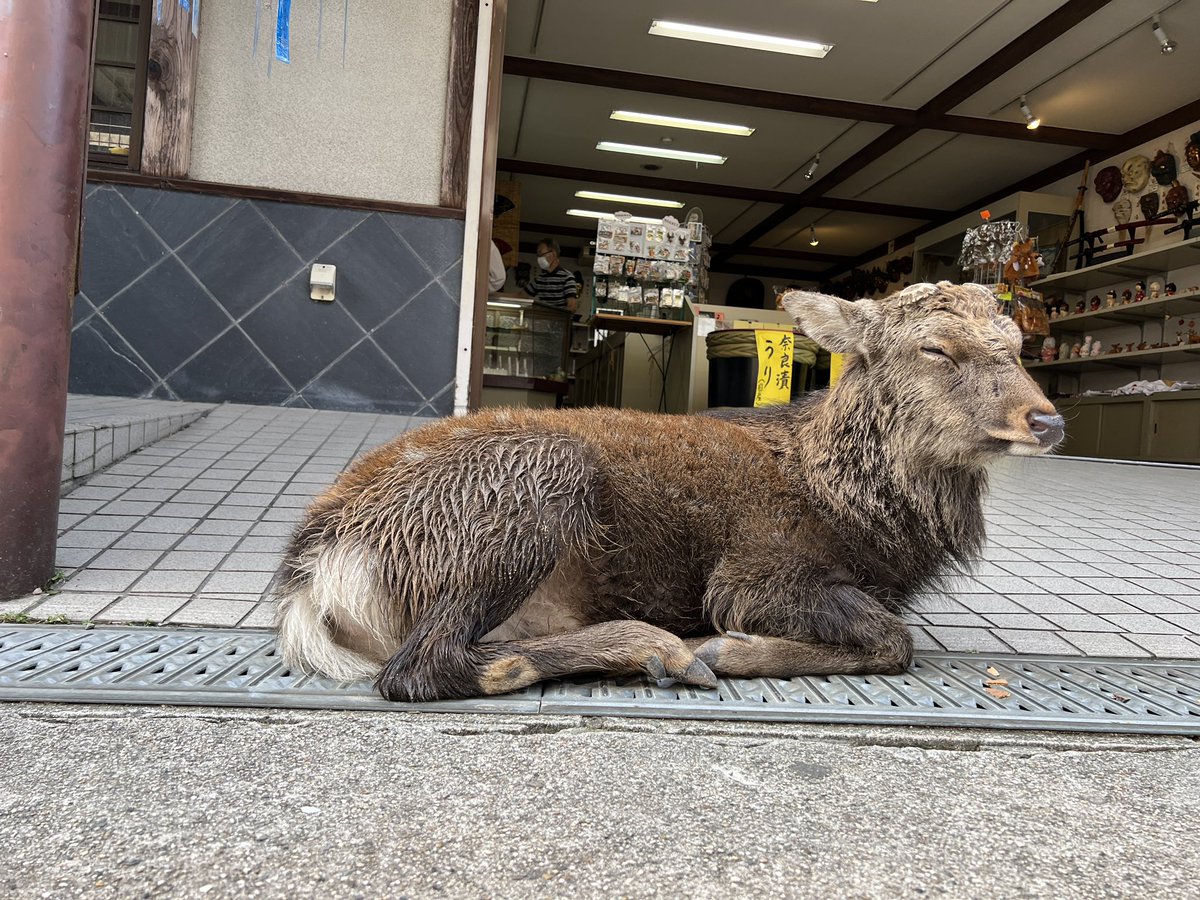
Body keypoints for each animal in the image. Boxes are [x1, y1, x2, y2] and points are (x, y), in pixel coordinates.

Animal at [273, 282, 1063, 701]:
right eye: (934, 347)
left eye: (1018, 344)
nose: (1048, 419)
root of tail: (316, 570)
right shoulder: (756, 570)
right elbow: (894, 639)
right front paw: (732, 649)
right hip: (531, 482)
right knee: (421, 667)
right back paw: (666, 649)